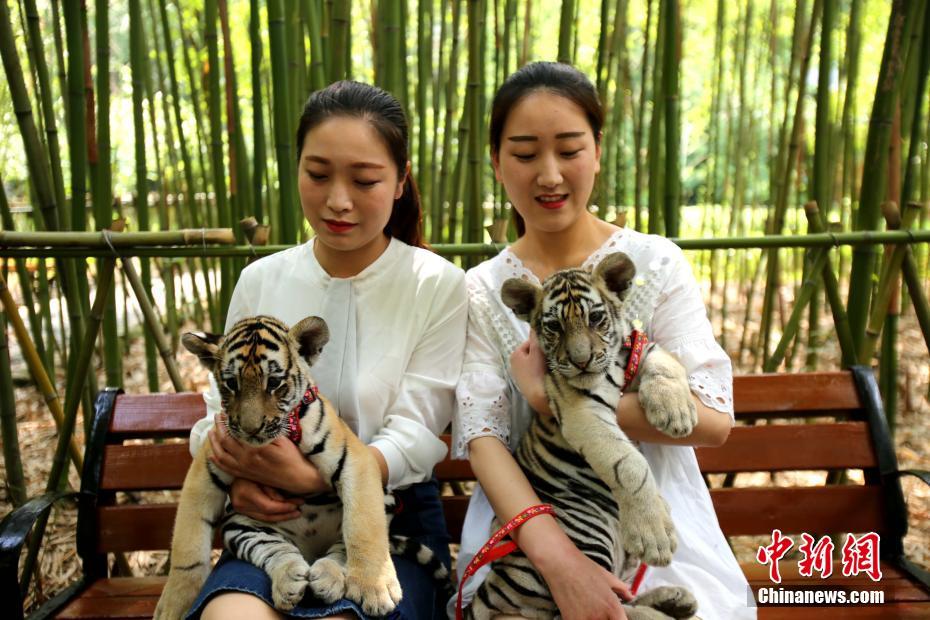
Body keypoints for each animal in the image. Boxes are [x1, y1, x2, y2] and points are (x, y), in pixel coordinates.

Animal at [153, 315, 450, 619]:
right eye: (231, 383)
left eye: (274, 382)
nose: (250, 428)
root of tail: (311, 553)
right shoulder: (205, 471)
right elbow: (187, 548)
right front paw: (174, 606)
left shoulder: (356, 461)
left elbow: (364, 527)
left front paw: (374, 588)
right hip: (242, 525)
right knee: (278, 552)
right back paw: (291, 581)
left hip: (387, 499)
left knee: (341, 549)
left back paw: (328, 579)